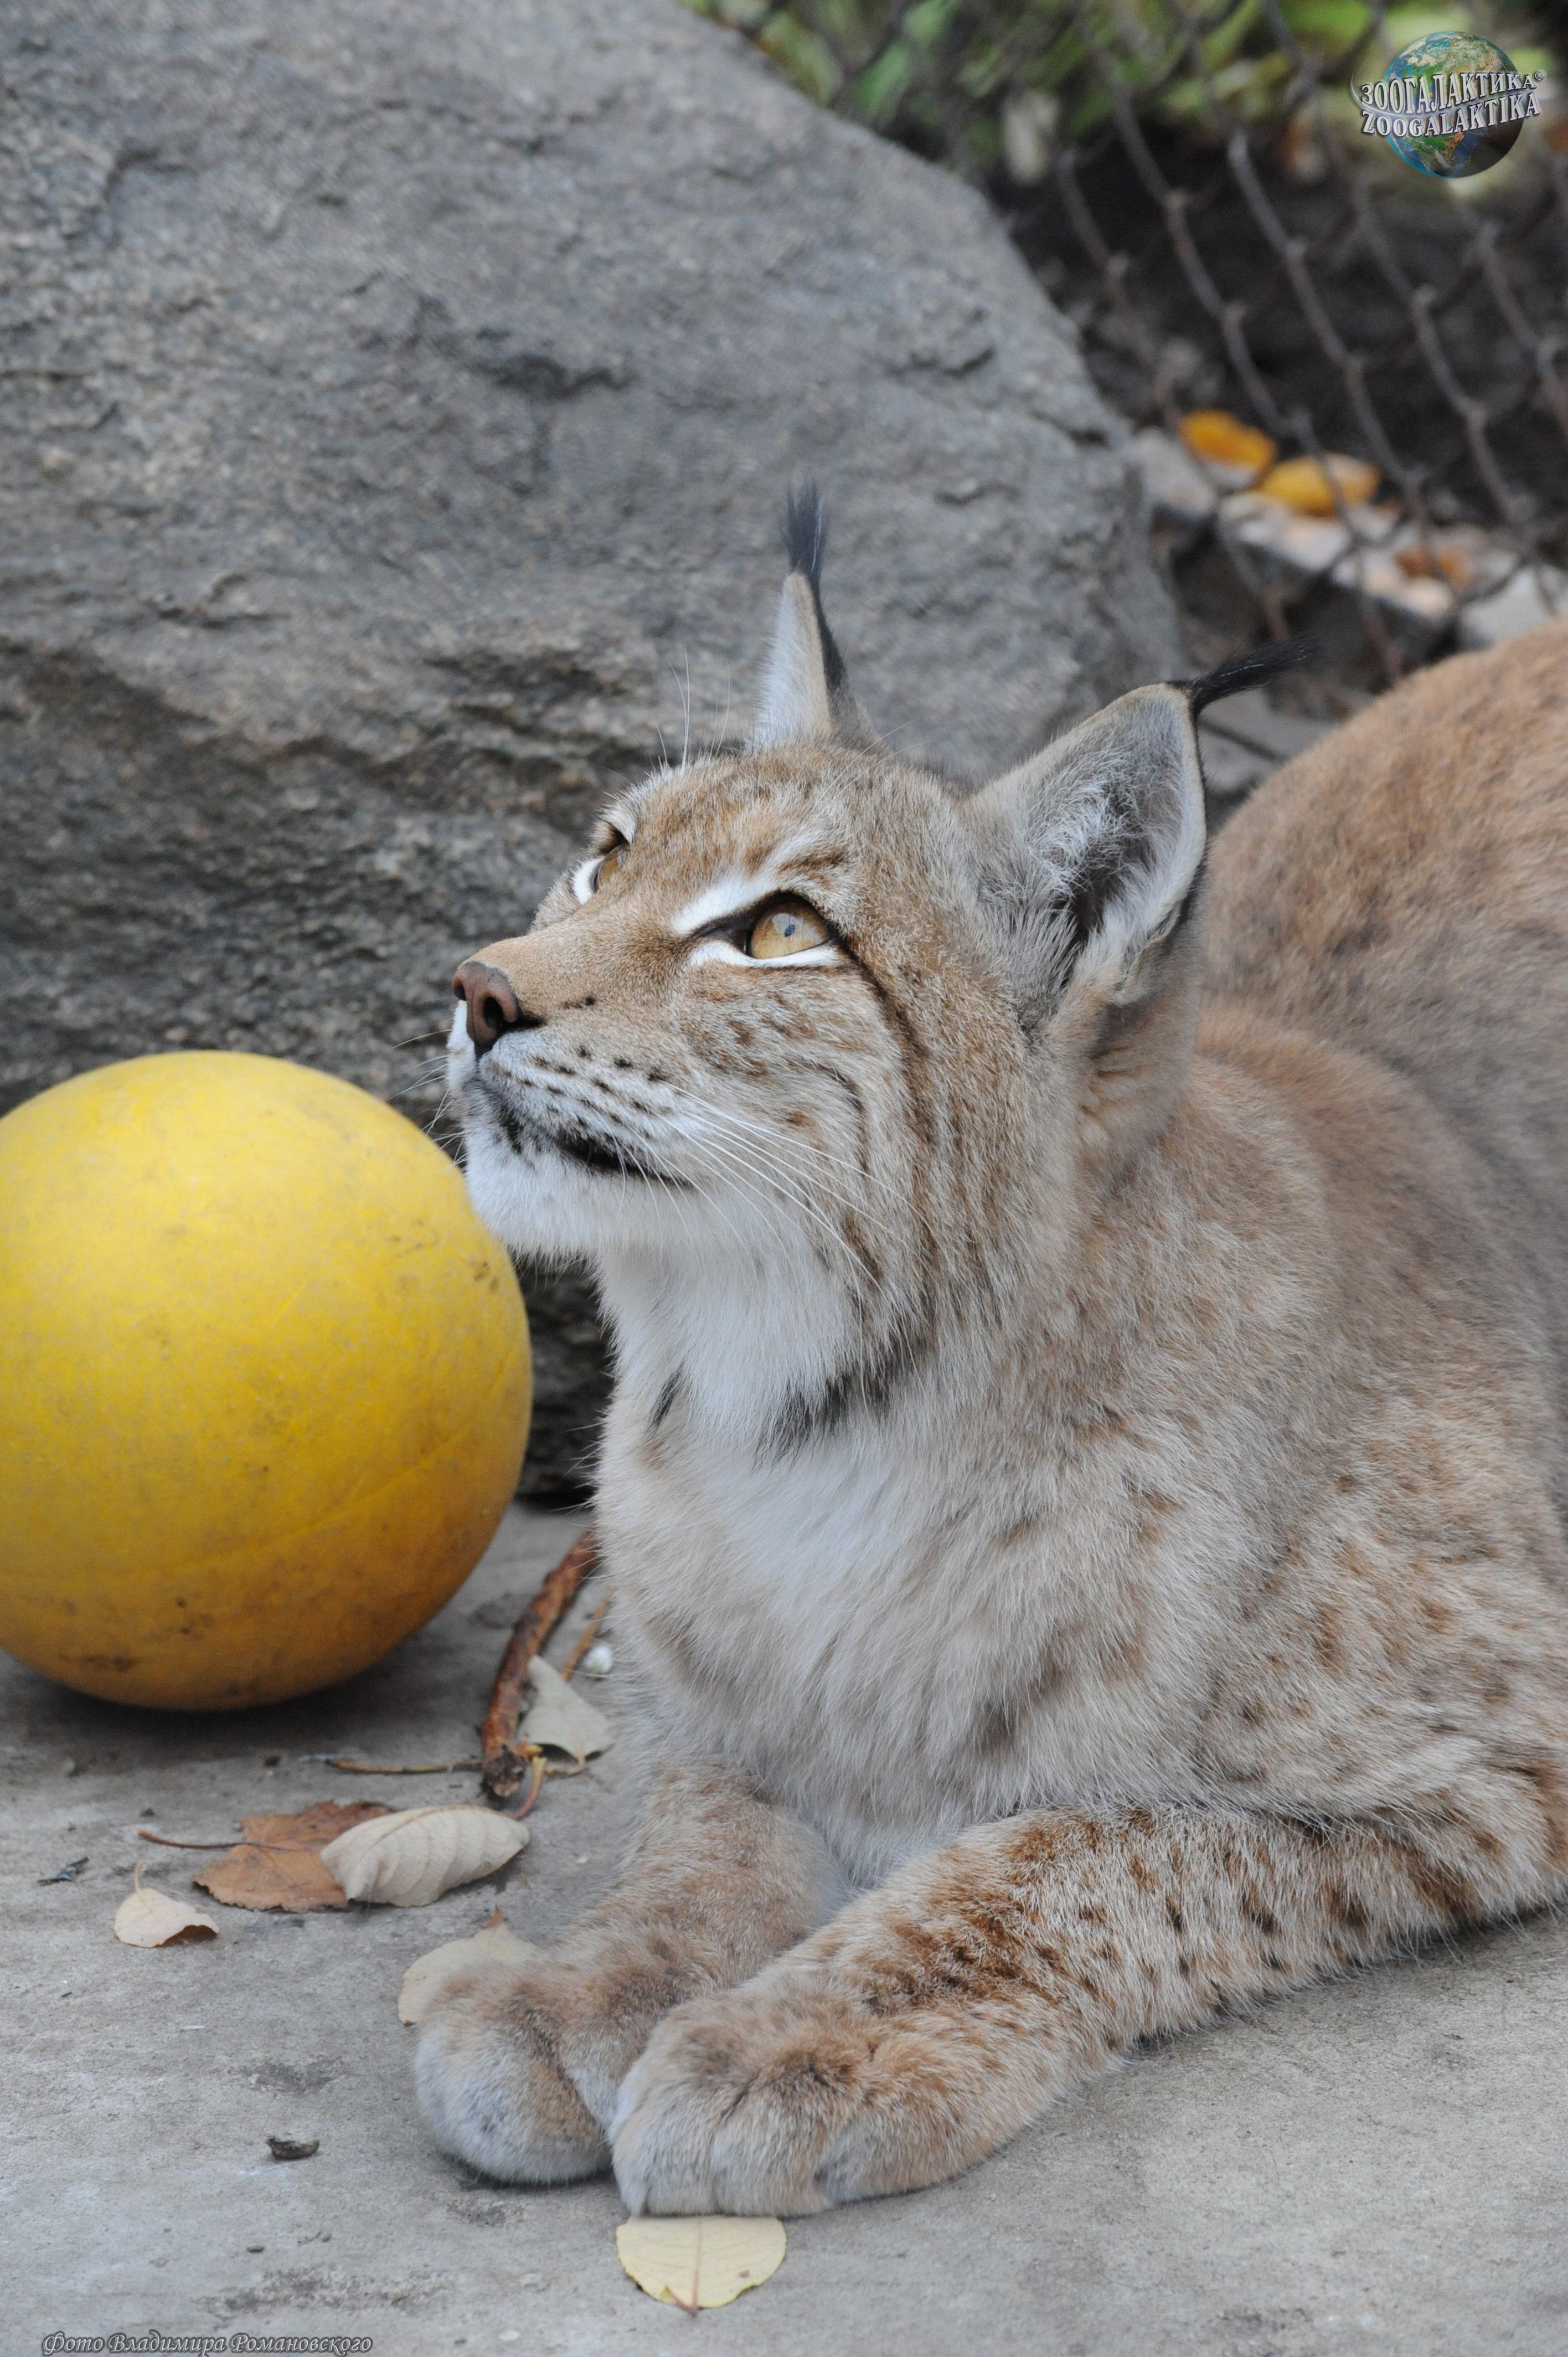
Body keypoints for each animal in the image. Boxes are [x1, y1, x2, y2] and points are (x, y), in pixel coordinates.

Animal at [415, 489, 1568, 2216]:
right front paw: (585, 1983)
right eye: (604, 855)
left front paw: (802, 2038)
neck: (813, 1425)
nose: (479, 993)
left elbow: (1076, 1845)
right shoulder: (734, 1719)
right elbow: (697, 1834)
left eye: (777, 930)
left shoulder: (1505, 1747)